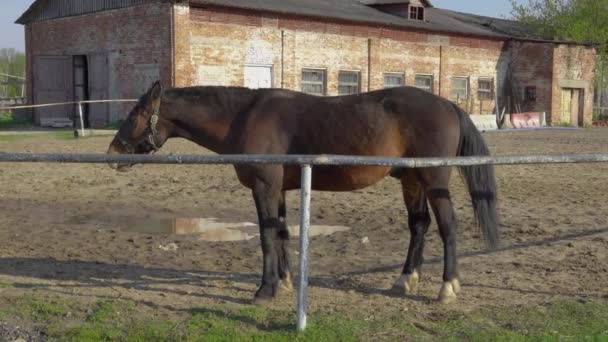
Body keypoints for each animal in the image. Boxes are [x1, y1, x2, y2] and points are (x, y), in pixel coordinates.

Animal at [109, 82, 498, 304]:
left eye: (137, 113)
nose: (113, 152)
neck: (243, 117)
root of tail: (449, 105)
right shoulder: (277, 189)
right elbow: (281, 233)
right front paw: (282, 283)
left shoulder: (265, 186)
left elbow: (266, 236)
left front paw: (264, 291)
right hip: (411, 180)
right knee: (419, 226)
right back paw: (405, 281)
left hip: (434, 180)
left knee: (448, 227)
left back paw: (447, 288)